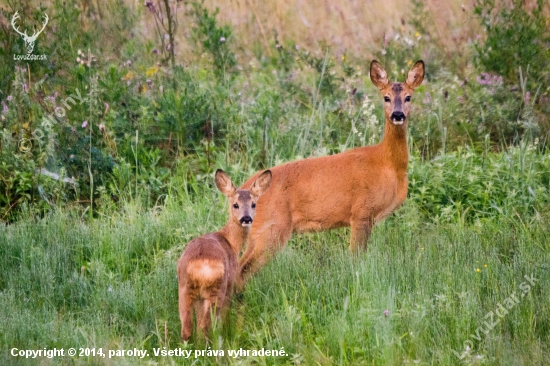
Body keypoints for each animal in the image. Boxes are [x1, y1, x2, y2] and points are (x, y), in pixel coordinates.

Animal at [178, 169, 272, 340]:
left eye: (253, 204)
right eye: (235, 204)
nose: (246, 218)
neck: (230, 242)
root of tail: (199, 265)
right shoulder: (231, 281)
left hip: (185, 289)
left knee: (187, 328)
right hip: (217, 289)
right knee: (205, 325)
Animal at [238, 60, 426, 288]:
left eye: (408, 97)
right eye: (386, 97)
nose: (398, 115)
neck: (387, 164)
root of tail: (246, 187)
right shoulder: (361, 212)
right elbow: (356, 258)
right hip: (271, 227)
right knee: (241, 269)